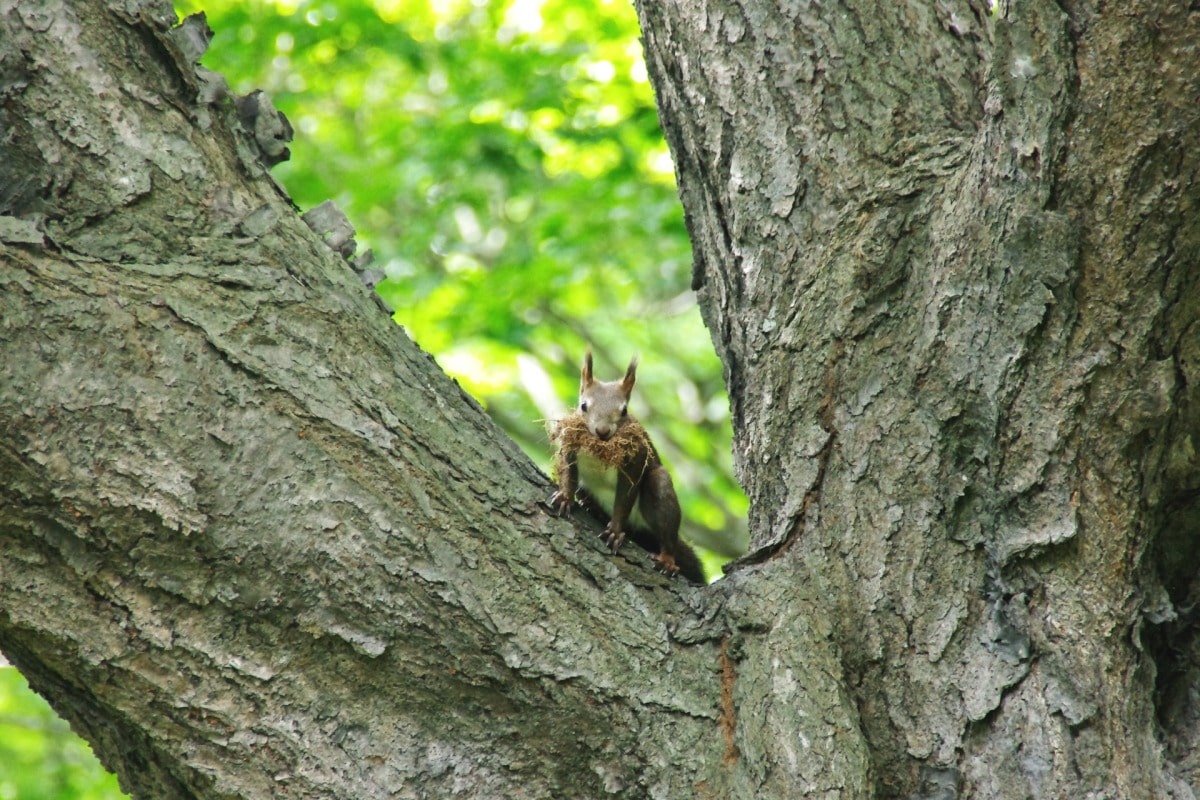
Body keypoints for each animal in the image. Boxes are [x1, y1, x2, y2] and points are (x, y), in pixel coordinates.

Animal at [549, 347, 705, 582]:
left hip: (659, 490)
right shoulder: (569, 446)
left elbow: (624, 499)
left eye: (624, 410)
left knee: (667, 533)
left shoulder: (635, 462)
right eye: (583, 405)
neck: (600, 449)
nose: (602, 431)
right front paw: (565, 497)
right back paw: (591, 506)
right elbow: (568, 473)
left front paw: (615, 531)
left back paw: (667, 560)